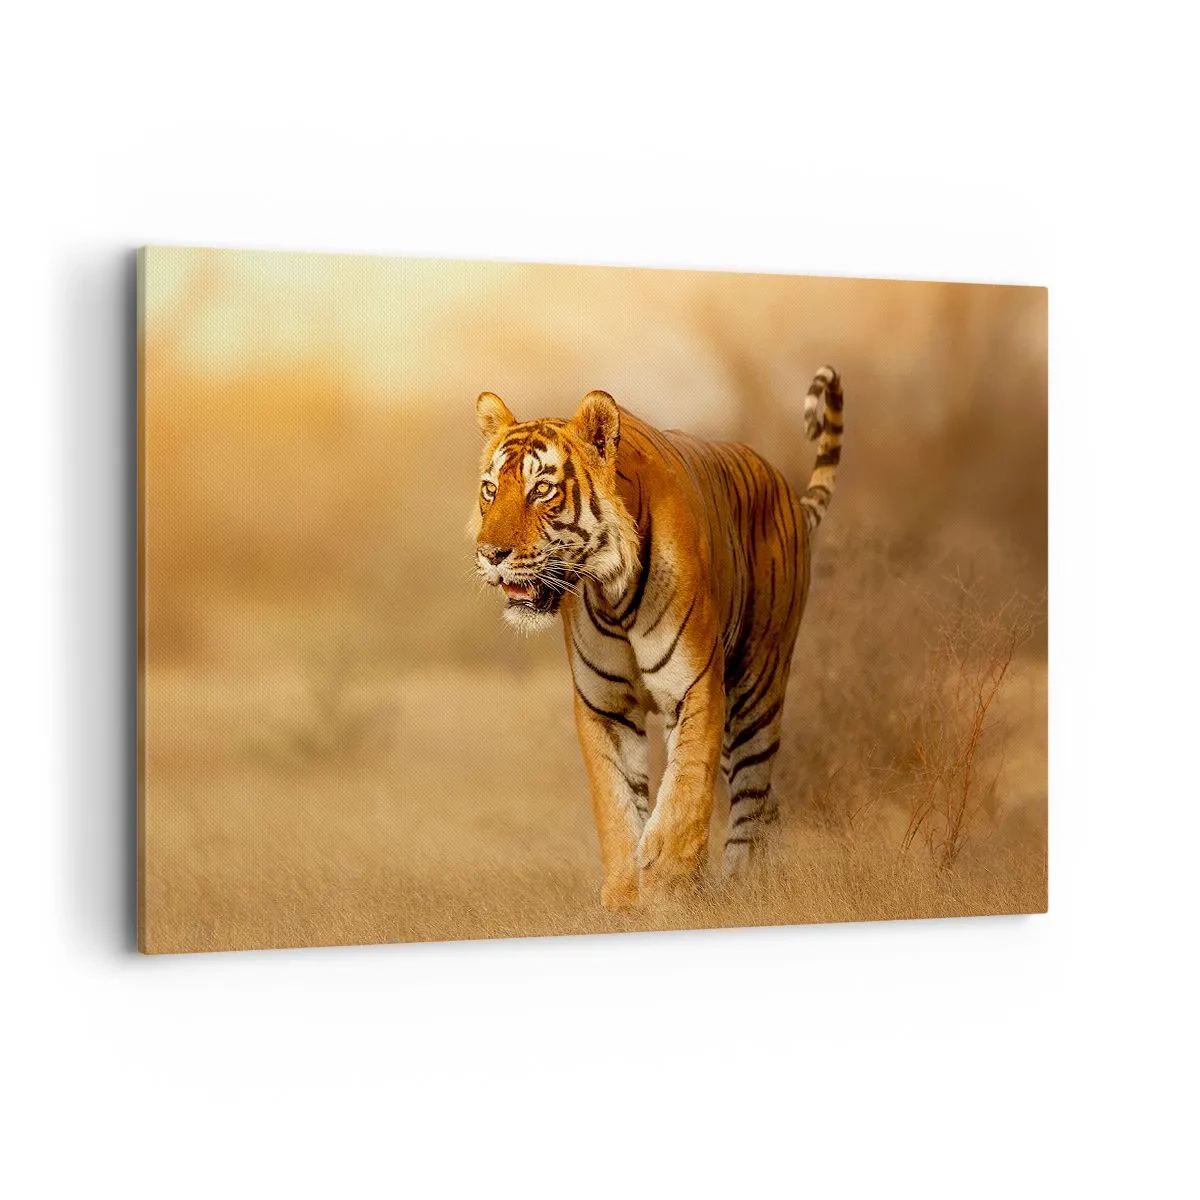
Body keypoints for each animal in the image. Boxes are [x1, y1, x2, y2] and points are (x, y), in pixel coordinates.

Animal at [471, 367, 844, 910]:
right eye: (490, 489)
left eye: (542, 489)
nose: (490, 554)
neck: (610, 589)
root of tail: (786, 490)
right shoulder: (603, 705)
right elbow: (616, 803)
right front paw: (627, 896)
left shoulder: (695, 686)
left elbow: (684, 790)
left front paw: (667, 883)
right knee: (765, 802)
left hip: (756, 690)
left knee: (751, 798)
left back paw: (741, 885)